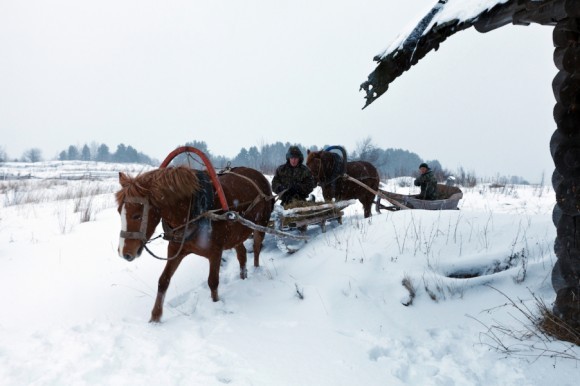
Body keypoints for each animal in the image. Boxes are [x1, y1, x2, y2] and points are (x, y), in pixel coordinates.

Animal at [117, 166, 274, 322]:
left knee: (256, 248)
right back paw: (243, 277)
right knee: (242, 254)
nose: (124, 253)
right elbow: (163, 280)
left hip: (261, 225)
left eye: (137, 215)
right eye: (119, 211)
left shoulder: (216, 252)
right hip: (236, 234)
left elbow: (213, 282)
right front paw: (155, 317)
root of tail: (258, 174)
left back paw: (256, 270)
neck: (194, 211)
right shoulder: (175, 248)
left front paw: (215, 306)